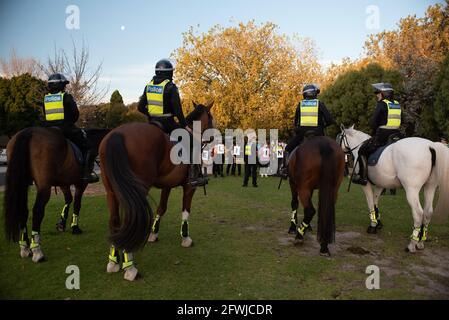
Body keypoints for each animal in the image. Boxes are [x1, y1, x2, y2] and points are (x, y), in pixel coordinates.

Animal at [3, 127, 109, 262]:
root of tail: (28, 131)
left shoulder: (64, 183)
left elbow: (68, 199)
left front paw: (61, 224)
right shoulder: (81, 183)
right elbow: (77, 204)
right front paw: (75, 227)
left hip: (23, 183)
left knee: (23, 211)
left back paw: (25, 248)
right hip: (44, 187)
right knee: (37, 212)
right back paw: (37, 251)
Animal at [99, 102, 214, 280]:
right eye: (211, 117)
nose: (213, 137)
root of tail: (118, 133)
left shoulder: (167, 185)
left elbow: (161, 208)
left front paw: (154, 234)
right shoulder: (189, 187)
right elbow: (185, 211)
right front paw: (186, 238)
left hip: (112, 192)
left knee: (114, 222)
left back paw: (113, 263)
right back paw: (130, 268)